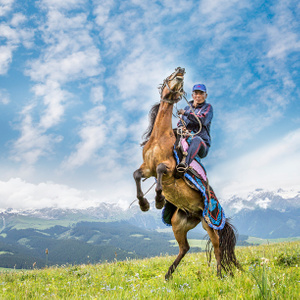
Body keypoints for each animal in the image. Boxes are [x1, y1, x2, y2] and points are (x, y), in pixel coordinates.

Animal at [133, 67, 239, 280]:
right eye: (169, 75)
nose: (180, 70)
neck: (159, 138)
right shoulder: (146, 167)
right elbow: (136, 175)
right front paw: (143, 204)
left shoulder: (168, 168)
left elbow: (161, 171)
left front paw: (158, 200)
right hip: (179, 224)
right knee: (185, 248)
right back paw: (168, 275)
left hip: (208, 223)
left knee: (217, 246)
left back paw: (219, 275)